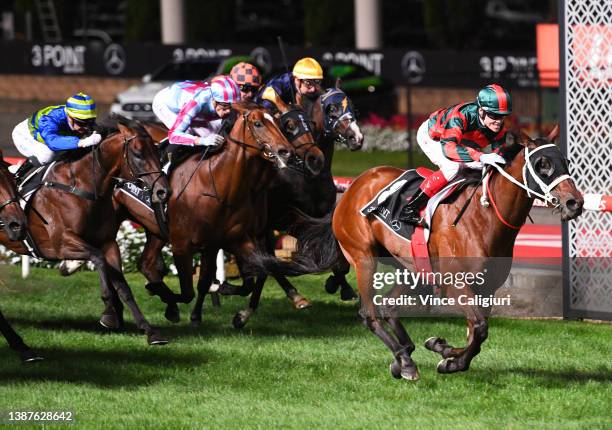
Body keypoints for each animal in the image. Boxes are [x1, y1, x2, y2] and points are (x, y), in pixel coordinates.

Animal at [0, 121, 170, 356]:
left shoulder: (108, 243)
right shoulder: (59, 244)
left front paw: (150, 332)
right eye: (138, 153)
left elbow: (123, 286)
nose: (163, 191)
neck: (81, 187)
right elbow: (97, 258)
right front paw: (109, 313)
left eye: (157, 151)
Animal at [256, 127, 584, 380]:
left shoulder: (487, 288)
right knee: (369, 313)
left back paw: (404, 354)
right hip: (363, 258)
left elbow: (477, 333)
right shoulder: (456, 284)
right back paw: (405, 362)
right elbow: (479, 328)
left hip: (413, 269)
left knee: (389, 306)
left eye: (565, 161)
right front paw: (448, 357)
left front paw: (446, 354)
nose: (574, 203)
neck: (484, 216)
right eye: (541, 164)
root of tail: (353, 187)